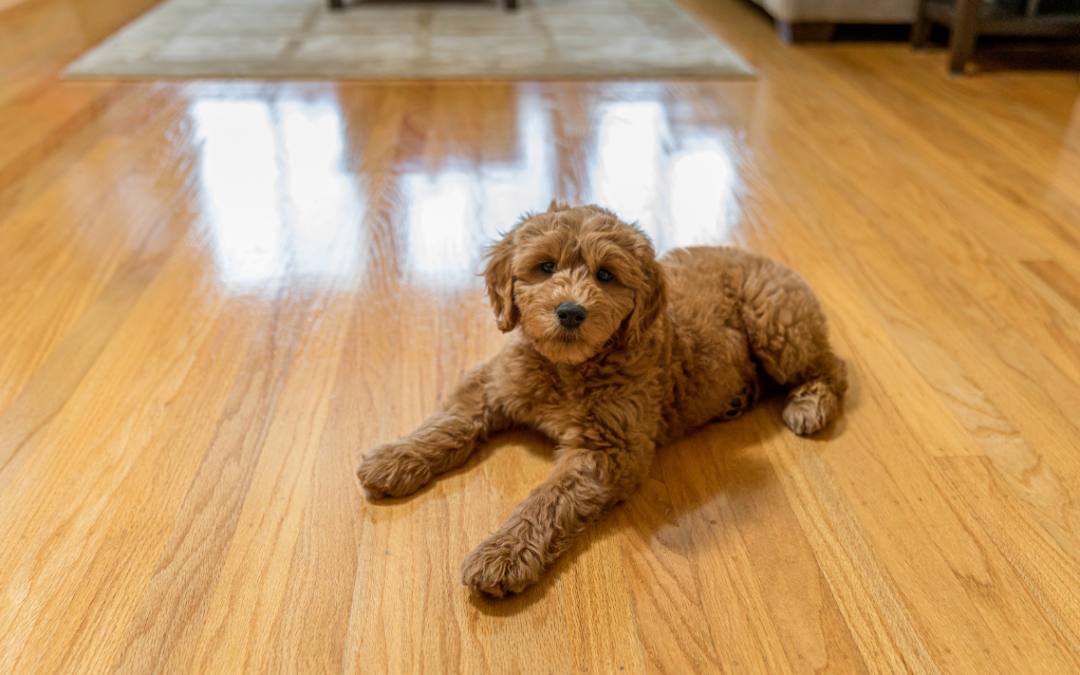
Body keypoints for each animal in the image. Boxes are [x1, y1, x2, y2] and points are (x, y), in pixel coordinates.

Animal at [358, 198, 846, 596]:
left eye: (606, 275)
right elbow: (448, 422)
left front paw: (505, 552)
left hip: (776, 326)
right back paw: (738, 398)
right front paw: (397, 457)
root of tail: (762, 257)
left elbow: (549, 499)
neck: (567, 368)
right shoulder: (492, 383)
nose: (571, 312)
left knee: (832, 365)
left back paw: (810, 404)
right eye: (545, 267)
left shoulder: (608, 448)